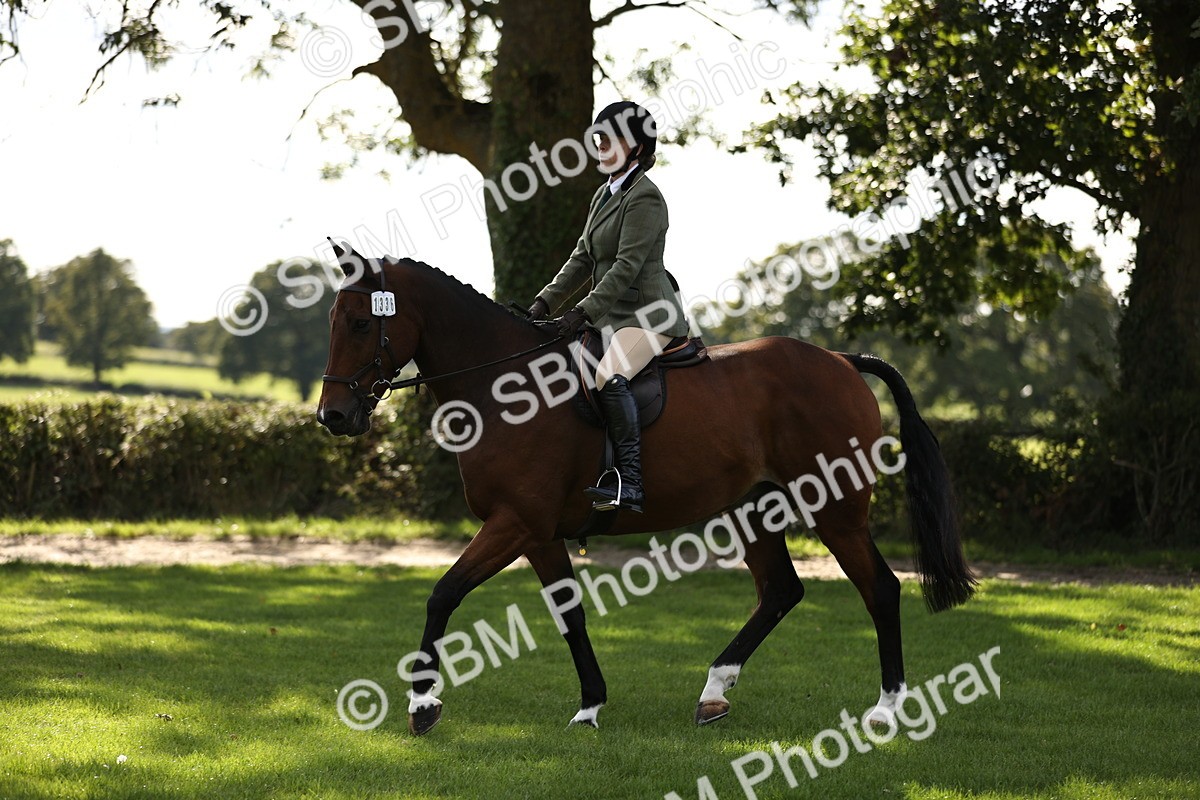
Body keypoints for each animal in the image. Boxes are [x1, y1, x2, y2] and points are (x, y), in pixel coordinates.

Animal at [316, 244, 976, 736]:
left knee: (879, 588)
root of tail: (840, 360)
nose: (333, 417)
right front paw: (589, 706)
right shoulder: (538, 534)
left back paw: (886, 710)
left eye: (361, 322)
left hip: (834, 509)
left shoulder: (514, 523)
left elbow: (442, 595)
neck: (503, 384)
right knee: (781, 591)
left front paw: (422, 706)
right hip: (753, 509)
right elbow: (569, 613)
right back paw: (714, 692)